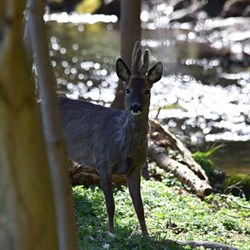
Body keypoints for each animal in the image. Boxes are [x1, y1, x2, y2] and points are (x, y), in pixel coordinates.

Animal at [59, 42, 163, 235]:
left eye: (147, 90)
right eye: (128, 90)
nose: (135, 107)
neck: (122, 145)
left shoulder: (136, 167)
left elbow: (139, 206)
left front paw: (146, 235)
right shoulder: (103, 161)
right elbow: (110, 204)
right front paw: (111, 232)